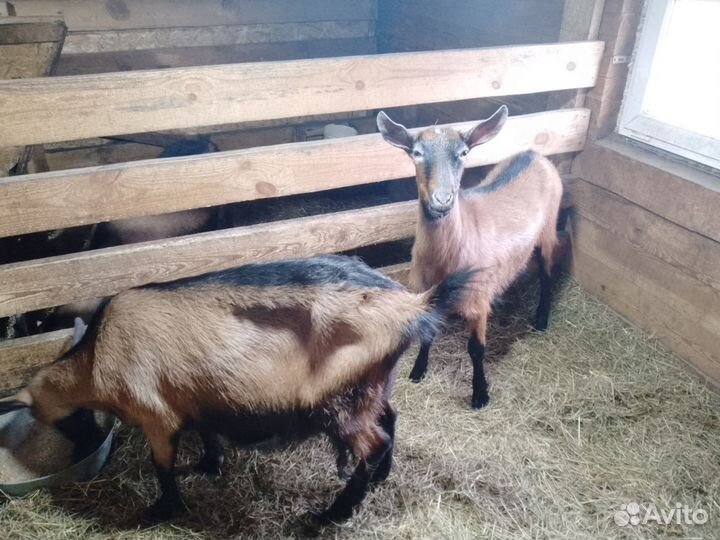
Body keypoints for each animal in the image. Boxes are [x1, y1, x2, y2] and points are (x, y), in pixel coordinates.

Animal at [0, 255, 471, 524]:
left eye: (67, 421)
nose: (86, 448)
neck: (95, 358)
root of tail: (412, 306)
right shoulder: (196, 397)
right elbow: (208, 433)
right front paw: (211, 464)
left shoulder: (156, 416)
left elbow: (161, 468)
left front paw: (160, 511)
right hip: (371, 386)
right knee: (390, 419)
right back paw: (380, 477)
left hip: (342, 400)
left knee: (372, 444)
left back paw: (331, 516)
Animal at [377, 106, 563, 409]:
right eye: (416, 152)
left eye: (463, 152)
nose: (442, 200)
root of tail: (533, 154)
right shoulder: (427, 293)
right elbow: (427, 334)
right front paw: (418, 371)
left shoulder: (477, 300)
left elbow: (476, 349)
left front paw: (480, 394)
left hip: (549, 229)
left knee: (547, 273)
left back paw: (541, 320)